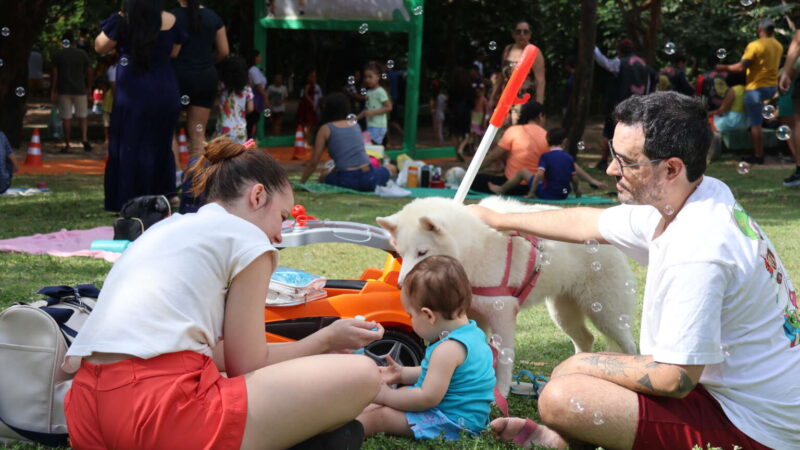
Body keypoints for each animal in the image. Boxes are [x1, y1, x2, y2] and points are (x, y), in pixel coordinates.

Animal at [376, 196, 636, 394]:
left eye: (422, 253)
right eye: (400, 253)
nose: (401, 285)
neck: (474, 248)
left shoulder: (502, 313)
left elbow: (502, 359)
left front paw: (499, 393)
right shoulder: (473, 315)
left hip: (605, 314)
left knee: (628, 346)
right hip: (563, 313)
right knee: (586, 339)